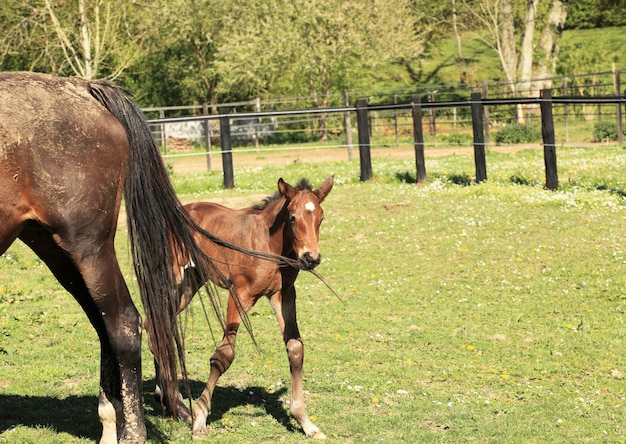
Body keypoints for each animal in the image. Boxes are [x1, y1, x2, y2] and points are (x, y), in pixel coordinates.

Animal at [0, 73, 229, 444]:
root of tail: (82, 87)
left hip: (87, 247)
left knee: (123, 323)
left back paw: (132, 431)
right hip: (56, 249)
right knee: (105, 325)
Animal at [151, 175, 332, 438]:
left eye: (321, 217)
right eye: (292, 217)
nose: (311, 258)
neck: (269, 243)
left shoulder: (284, 295)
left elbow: (295, 348)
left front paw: (305, 422)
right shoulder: (240, 294)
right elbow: (224, 355)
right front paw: (200, 420)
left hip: (190, 283)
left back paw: (166, 398)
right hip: (172, 279)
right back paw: (173, 401)